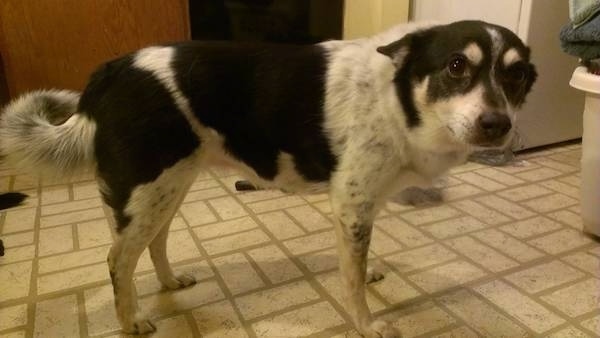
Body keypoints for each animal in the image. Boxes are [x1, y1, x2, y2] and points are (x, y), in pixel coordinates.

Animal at [0, 19, 536, 336]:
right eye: (456, 65)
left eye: (515, 76)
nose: (497, 126)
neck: (398, 96)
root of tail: (108, 72)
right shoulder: (351, 204)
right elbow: (351, 282)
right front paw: (367, 324)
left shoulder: (364, 204)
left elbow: (358, 264)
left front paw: (371, 271)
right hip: (148, 188)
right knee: (117, 259)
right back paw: (131, 319)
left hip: (170, 186)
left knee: (153, 244)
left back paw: (171, 282)